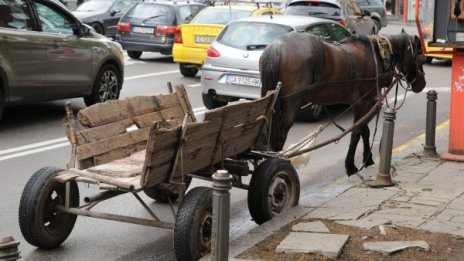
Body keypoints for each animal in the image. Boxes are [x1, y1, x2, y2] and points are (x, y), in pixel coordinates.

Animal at [260, 31, 426, 176]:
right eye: (419, 55)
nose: (422, 84)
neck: (379, 55)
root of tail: (277, 46)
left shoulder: (360, 104)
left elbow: (364, 130)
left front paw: (367, 159)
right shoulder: (366, 102)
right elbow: (357, 132)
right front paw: (351, 165)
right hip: (292, 104)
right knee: (280, 135)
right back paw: (277, 161)